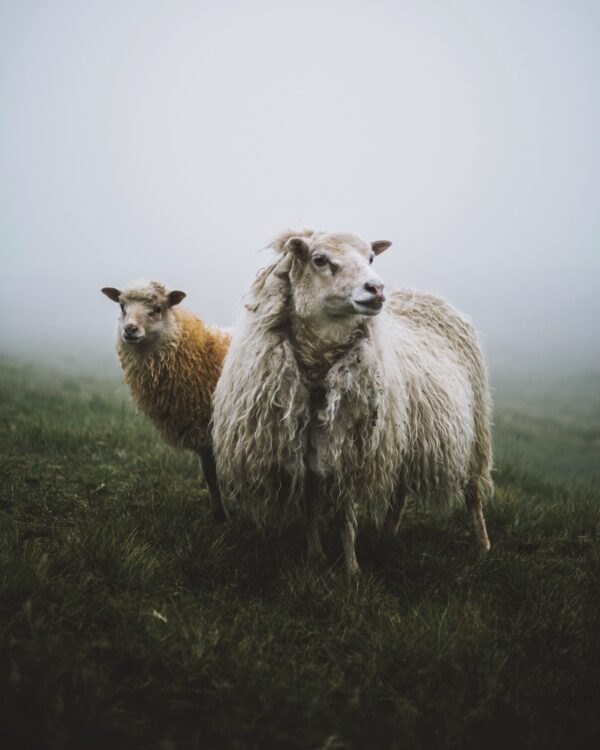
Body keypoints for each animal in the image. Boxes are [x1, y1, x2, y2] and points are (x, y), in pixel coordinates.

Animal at [101, 280, 230, 524]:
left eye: (158, 308)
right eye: (122, 306)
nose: (130, 329)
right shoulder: (203, 437)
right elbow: (210, 477)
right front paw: (219, 516)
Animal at [213, 232, 494, 580]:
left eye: (371, 257)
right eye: (319, 259)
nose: (377, 289)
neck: (318, 369)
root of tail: (425, 295)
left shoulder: (350, 448)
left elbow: (345, 514)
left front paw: (351, 570)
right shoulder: (303, 450)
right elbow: (309, 504)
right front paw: (315, 555)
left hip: (476, 429)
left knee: (473, 492)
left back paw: (481, 545)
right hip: (405, 434)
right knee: (400, 490)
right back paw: (388, 534)